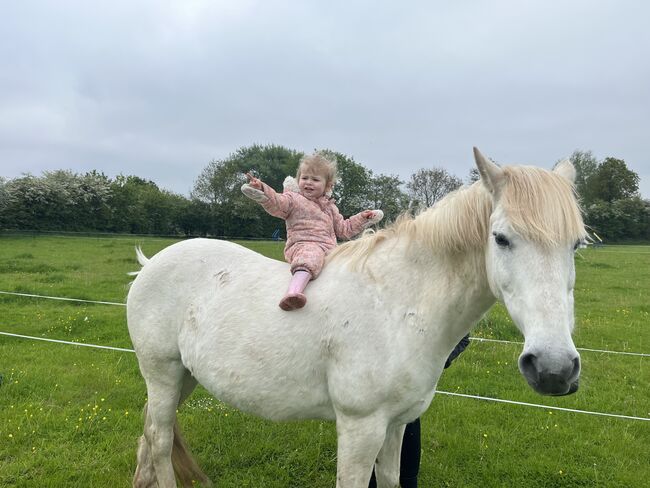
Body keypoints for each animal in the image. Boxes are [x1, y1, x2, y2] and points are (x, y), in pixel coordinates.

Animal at [129, 149, 584, 488]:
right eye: (501, 238)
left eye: (576, 244)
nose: (554, 368)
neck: (398, 306)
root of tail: (151, 264)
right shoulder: (360, 429)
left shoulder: (396, 426)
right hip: (162, 373)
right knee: (160, 440)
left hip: (185, 377)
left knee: (151, 437)